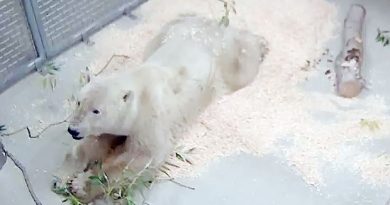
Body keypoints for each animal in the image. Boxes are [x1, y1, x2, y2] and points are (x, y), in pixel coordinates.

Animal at [54, 15, 268, 203]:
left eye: (96, 110)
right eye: (79, 102)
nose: (73, 130)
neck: (139, 88)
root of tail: (215, 26)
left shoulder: (150, 118)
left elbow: (141, 157)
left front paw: (81, 186)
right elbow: (94, 143)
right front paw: (64, 177)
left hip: (226, 61)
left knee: (244, 63)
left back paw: (262, 44)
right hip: (168, 31)